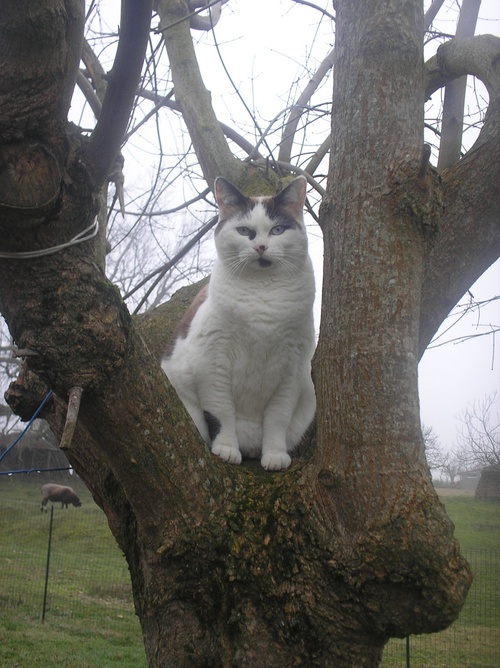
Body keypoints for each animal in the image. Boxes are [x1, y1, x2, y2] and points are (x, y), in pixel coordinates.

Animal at [162, 176, 314, 470]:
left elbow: (278, 418)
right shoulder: (213, 360)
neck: (263, 295)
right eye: (244, 231)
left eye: (278, 230)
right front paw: (226, 449)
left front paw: (275, 455)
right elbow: (221, 411)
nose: (261, 247)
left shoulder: (292, 369)